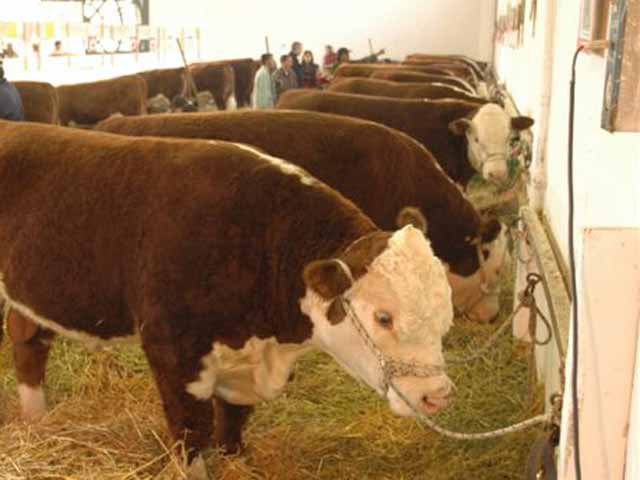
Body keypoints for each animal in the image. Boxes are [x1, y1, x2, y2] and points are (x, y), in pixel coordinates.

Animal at [2, 118, 458, 478]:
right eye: (383, 317)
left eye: (446, 318)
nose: (435, 395)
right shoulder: (174, 353)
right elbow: (190, 431)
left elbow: (233, 420)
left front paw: (237, 459)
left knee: (29, 342)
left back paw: (36, 420)